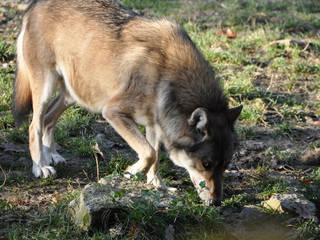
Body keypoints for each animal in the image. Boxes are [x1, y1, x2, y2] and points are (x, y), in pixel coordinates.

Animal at [13, 0, 242, 205]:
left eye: (225, 165)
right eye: (206, 164)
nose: (217, 202)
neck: (169, 78)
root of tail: (34, 5)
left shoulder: (154, 124)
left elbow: (155, 157)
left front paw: (157, 186)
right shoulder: (113, 112)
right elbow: (149, 153)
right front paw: (132, 172)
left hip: (75, 94)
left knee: (48, 120)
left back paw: (51, 155)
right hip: (46, 89)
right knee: (34, 125)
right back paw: (40, 166)